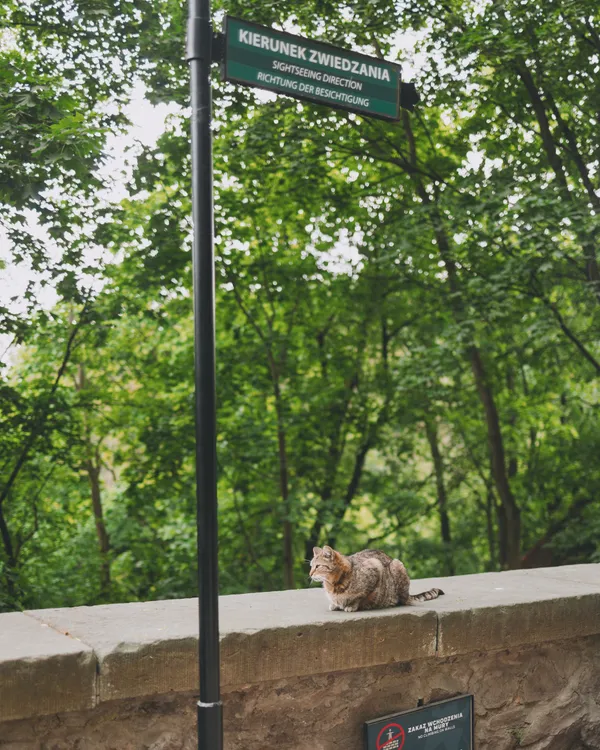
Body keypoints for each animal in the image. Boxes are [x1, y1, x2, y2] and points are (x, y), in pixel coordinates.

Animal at [312, 548, 442, 612]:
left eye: (317, 566)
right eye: (311, 566)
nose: (310, 573)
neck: (333, 584)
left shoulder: (375, 567)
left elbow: (360, 597)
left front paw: (352, 605)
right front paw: (335, 604)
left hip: (397, 565)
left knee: (403, 600)